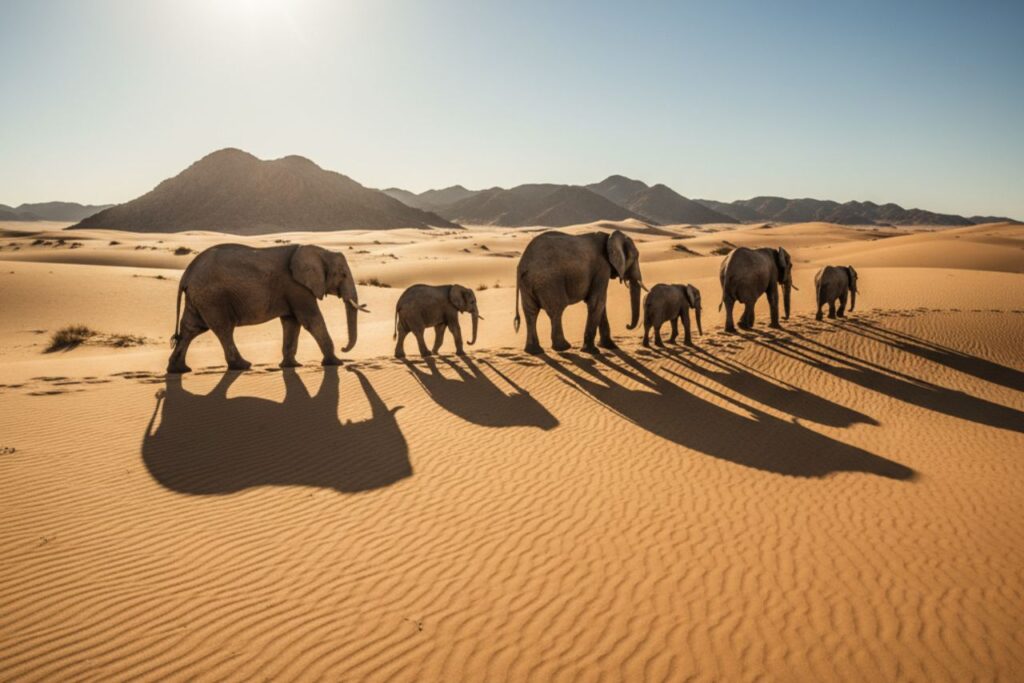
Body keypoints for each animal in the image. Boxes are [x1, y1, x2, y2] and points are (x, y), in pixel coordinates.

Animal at [167, 243, 366, 374]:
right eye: (343, 274)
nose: (344, 348)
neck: (321, 251)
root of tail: (187, 273)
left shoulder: (292, 290)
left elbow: (292, 323)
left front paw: (291, 366)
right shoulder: (296, 286)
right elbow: (311, 320)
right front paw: (336, 363)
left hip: (199, 298)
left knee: (191, 328)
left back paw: (178, 370)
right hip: (212, 298)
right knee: (223, 329)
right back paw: (243, 365)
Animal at [514, 229, 646, 355]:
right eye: (635, 258)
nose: (627, 325)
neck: (609, 236)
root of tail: (523, 265)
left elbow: (601, 304)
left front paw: (610, 346)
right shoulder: (602, 268)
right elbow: (597, 302)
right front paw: (592, 351)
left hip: (528, 284)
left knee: (531, 313)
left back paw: (534, 351)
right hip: (548, 282)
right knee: (556, 310)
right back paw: (563, 347)